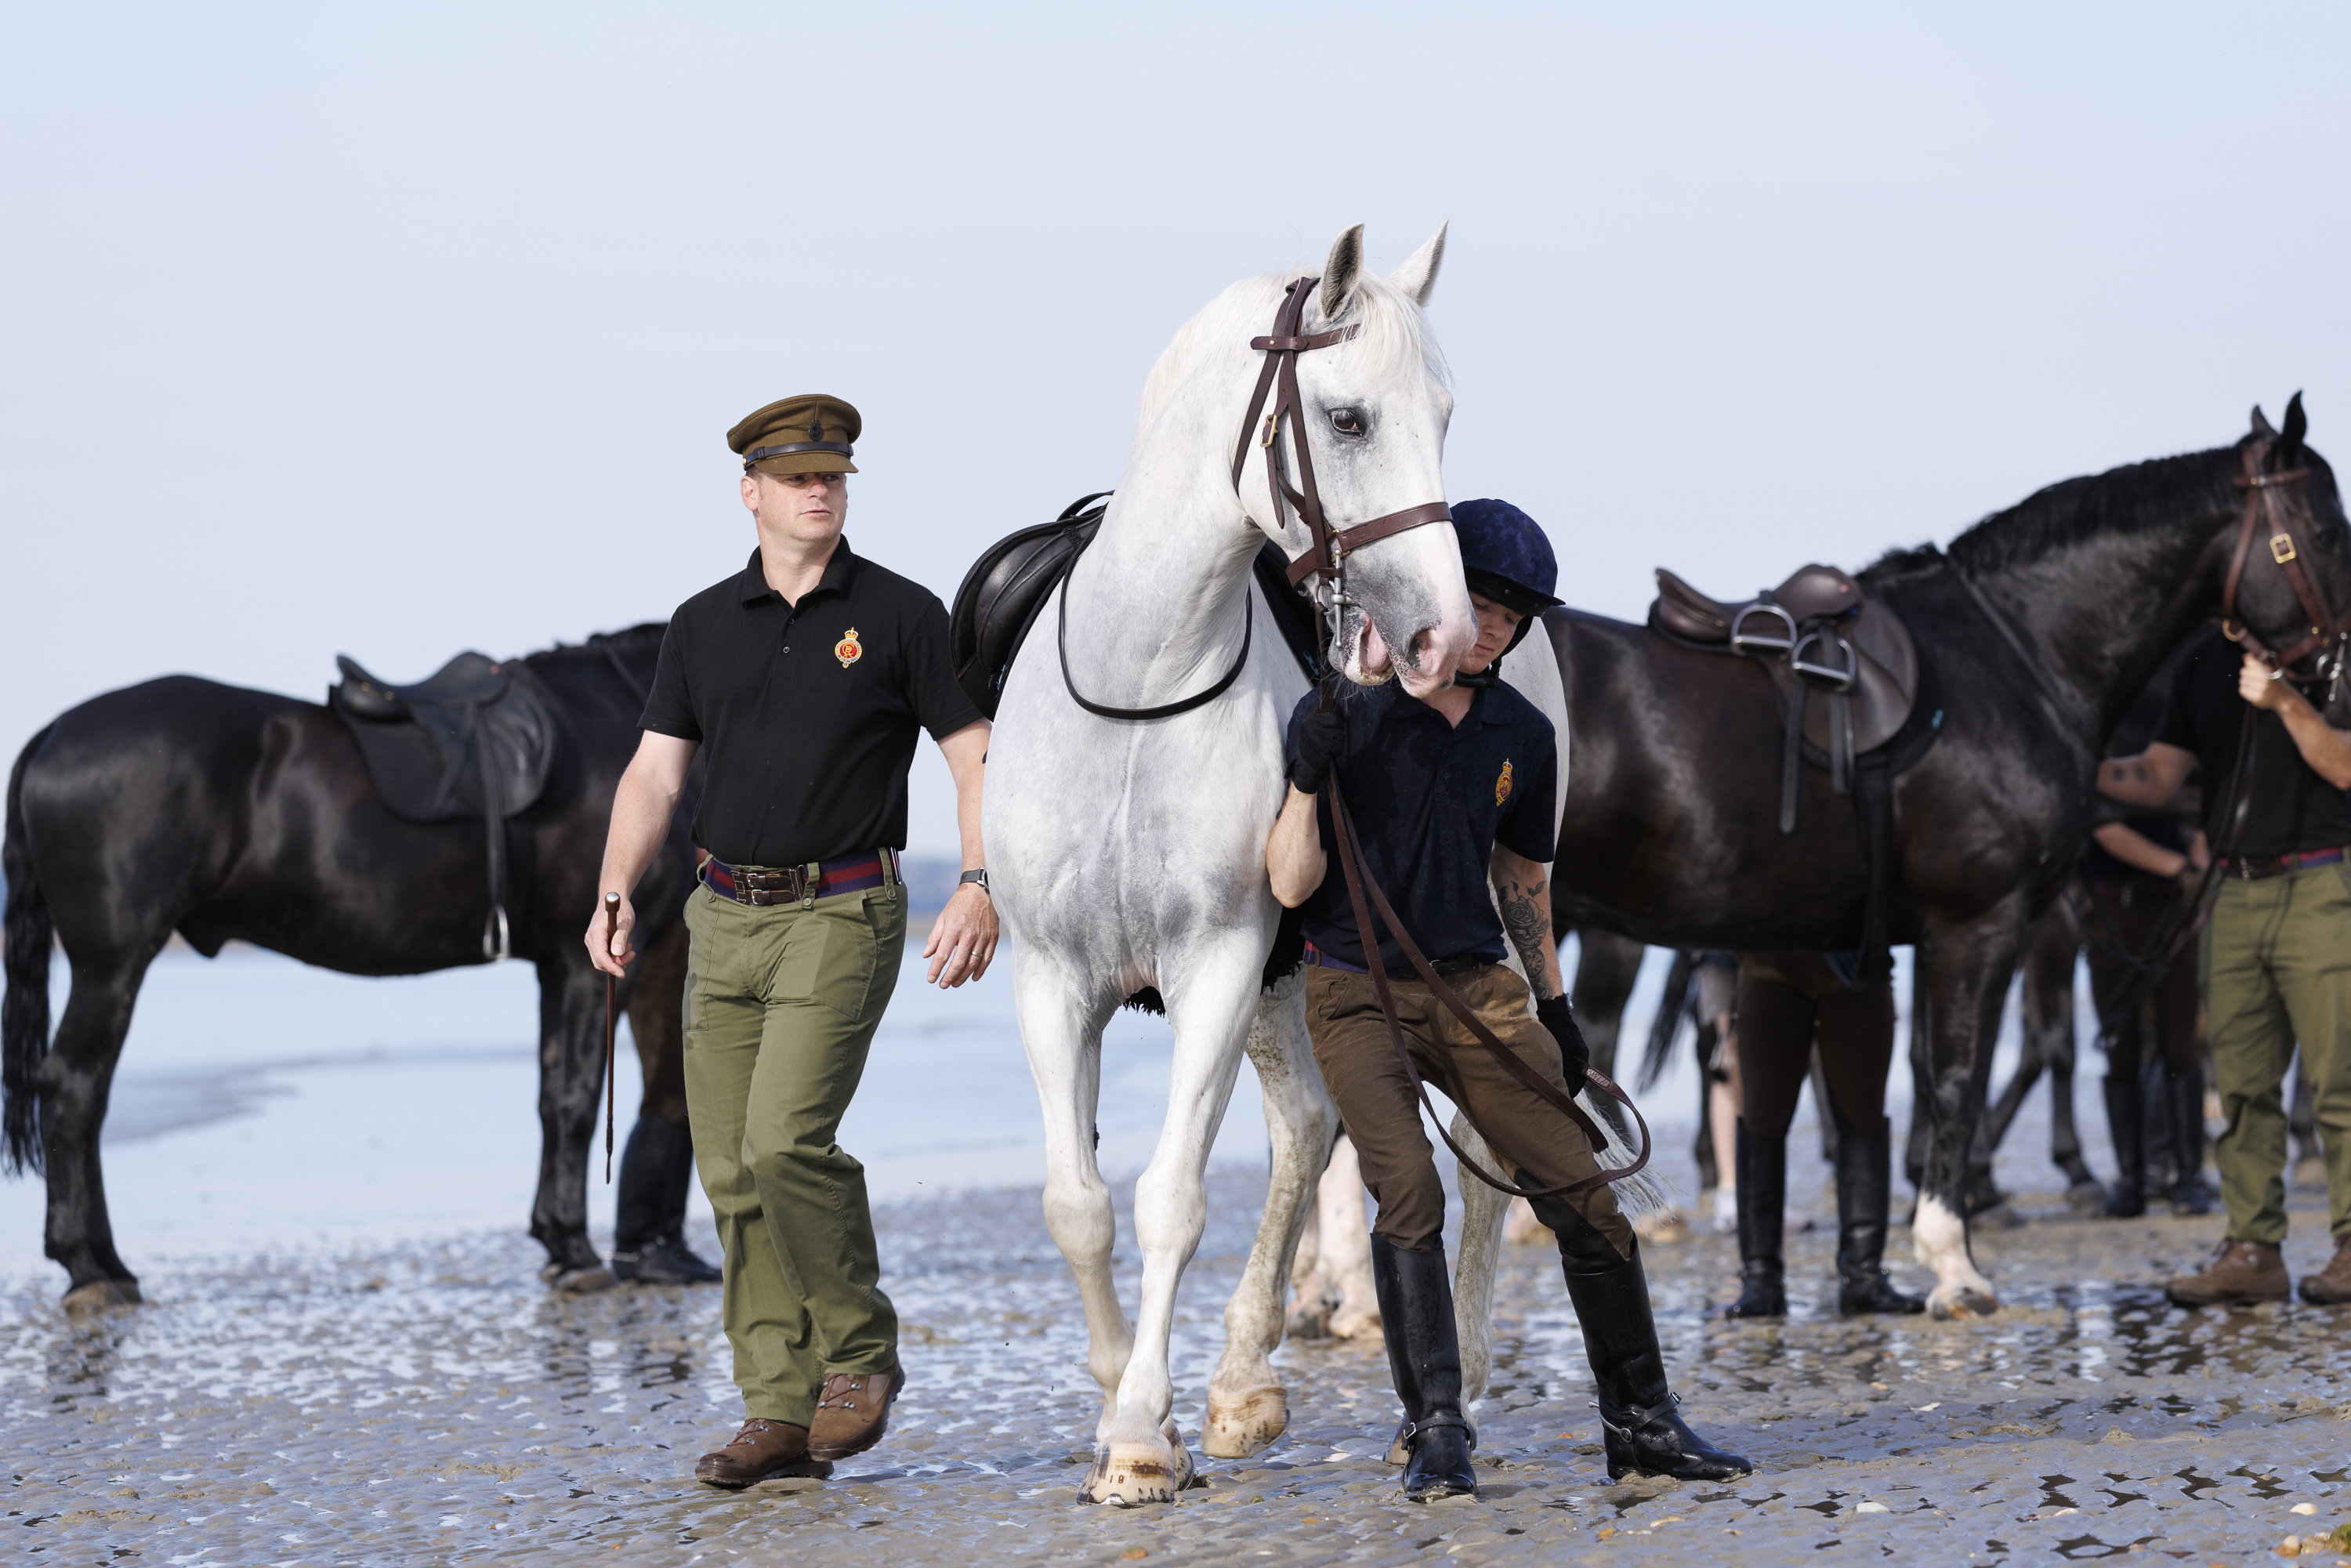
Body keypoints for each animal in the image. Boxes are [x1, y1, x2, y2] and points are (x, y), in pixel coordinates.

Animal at [1, 625, 697, 1306]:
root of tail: (53, 732)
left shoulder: (555, 967)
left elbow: (552, 1096)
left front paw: (556, 1241)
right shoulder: (587, 964)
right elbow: (576, 1102)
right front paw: (576, 1250)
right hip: (110, 966)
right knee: (72, 1089)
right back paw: (90, 1267)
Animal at [983, 222, 1478, 1506]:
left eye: (1445, 415)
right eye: (1349, 419)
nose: (1442, 642)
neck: (1139, 686)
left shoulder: (1216, 963)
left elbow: (1170, 1199)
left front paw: (1141, 1436)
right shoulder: (1052, 980)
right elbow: (1077, 1204)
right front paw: (1123, 1396)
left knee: (1342, 1139)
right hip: (1277, 985)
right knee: (1306, 1122)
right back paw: (1241, 1379)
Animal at [1439, 400, 2349, 1342]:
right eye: (2325, 531)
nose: (2332, 675)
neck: (2018, 656)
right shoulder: (1983, 923)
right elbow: (1956, 1073)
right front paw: (1955, 1260)